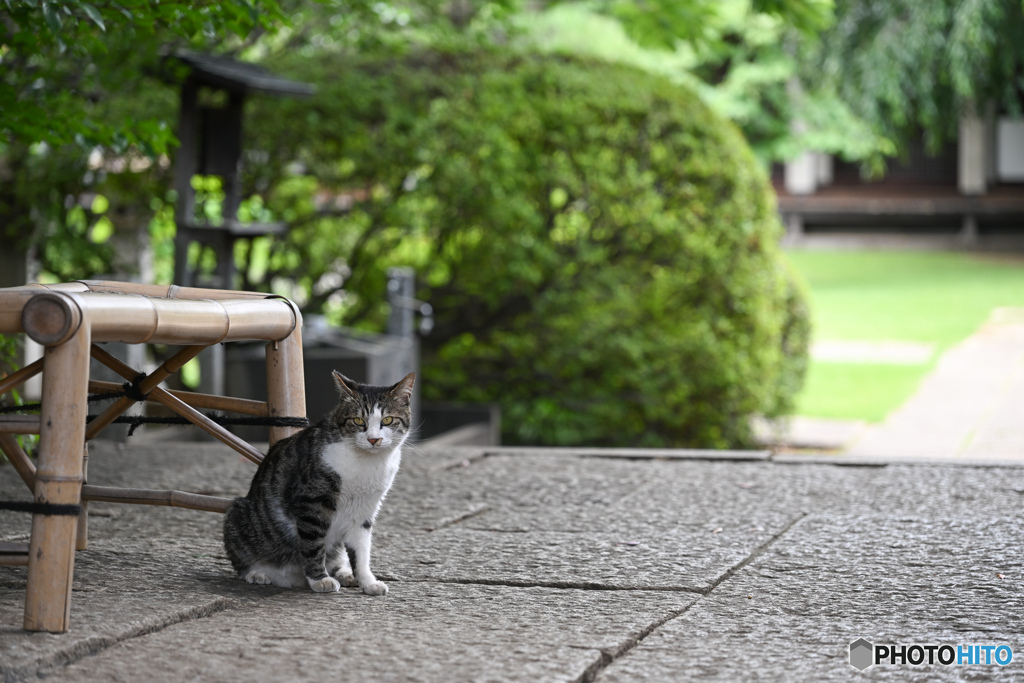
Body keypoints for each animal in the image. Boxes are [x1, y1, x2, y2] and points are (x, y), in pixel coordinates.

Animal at [225, 370, 415, 593]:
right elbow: (313, 544)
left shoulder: (365, 509)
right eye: (358, 420)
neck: (367, 464)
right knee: (242, 561)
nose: (373, 439)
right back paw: (258, 573)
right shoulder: (312, 502)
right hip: (237, 514)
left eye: (388, 419)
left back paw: (345, 573)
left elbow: (361, 550)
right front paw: (320, 579)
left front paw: (367, 582)